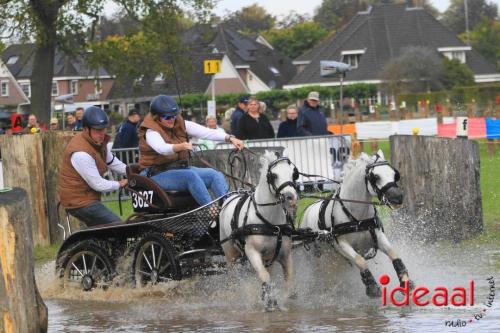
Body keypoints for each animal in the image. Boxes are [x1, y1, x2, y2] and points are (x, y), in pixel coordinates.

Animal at [218, 152, 296, 310]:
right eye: (274, 175)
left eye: (293, 174)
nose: (291, 198)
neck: (271, 223)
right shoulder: (252, 252)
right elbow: (265, 277)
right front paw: (270, 302)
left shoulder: (285, 255)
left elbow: (289, 283)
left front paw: (279, 300)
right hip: (230, 254)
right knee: (232, 276)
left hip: (267, 257)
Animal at [298, 150, 412, 296]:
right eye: (375, 176)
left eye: (394, 174)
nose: (397, 197)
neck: (358, 220)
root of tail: (306, 211)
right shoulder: (341, 244)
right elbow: (360, 260)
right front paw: (372, 287)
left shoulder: (377, 235)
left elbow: (394, 254)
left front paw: (405, 282)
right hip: (315, 259)